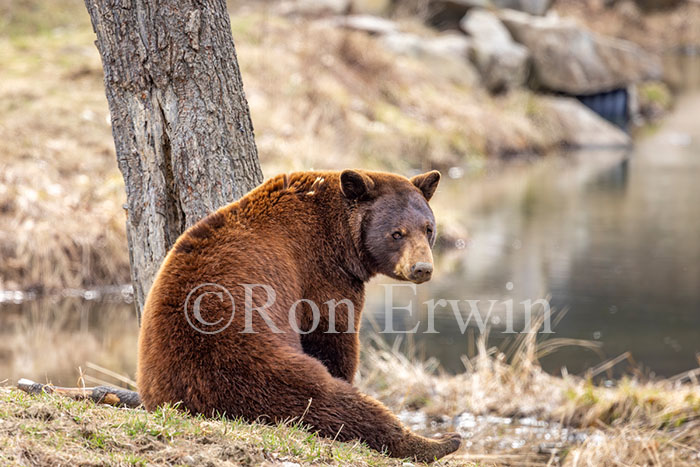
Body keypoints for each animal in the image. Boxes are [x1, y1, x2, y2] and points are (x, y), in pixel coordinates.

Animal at [137, 169, 462, 462]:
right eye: (396, 233)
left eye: (428, 228)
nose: (422, 268)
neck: (338, 233)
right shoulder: (321, 274)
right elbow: (332, 335)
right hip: (252, 366)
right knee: (331, 403)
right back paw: (440, 442)